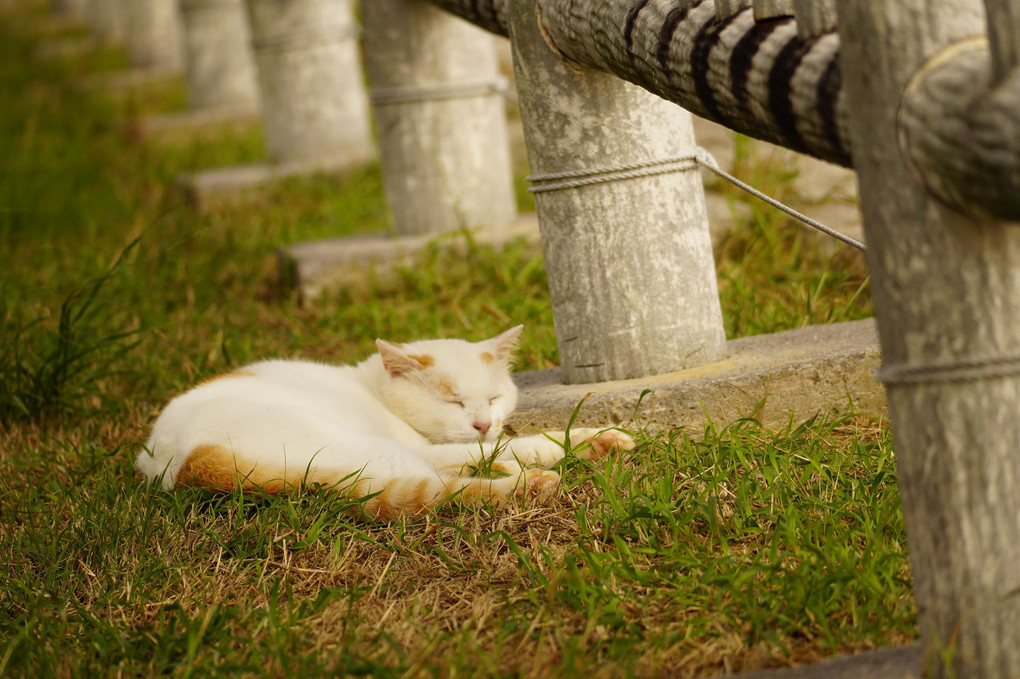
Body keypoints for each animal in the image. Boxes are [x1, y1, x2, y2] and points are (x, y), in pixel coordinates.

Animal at [135, 324, 628, 517]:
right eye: (452, 402)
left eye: (493, 398)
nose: (483, 423)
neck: (370, 386)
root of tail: (186, 463)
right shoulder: (423, 443)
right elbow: (520, 442)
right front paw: (571, 443)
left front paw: (598, 439)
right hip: (372, 452)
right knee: (447, 487)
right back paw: (526, 481)